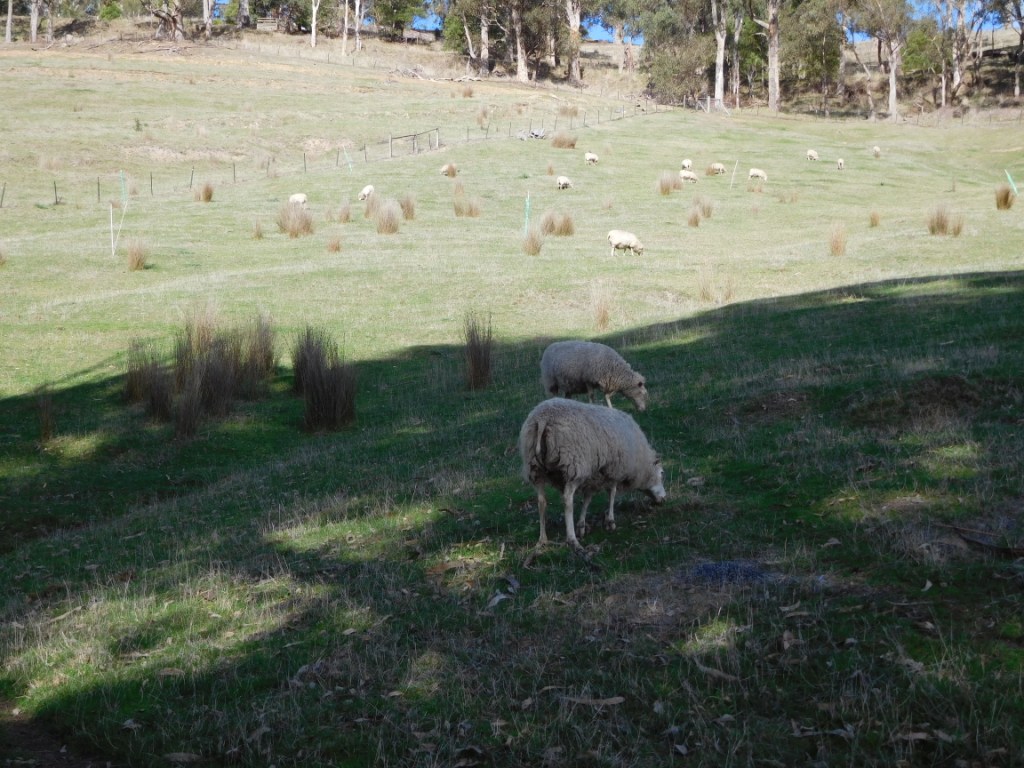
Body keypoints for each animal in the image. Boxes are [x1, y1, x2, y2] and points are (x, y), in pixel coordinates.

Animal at [519, 398, 665, 550]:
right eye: (662, 473)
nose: (664, 499)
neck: (641, 462)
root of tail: (543, 418)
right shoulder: (615, 469)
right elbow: (612, 493)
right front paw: (610, 521)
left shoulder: (593, 476)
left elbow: (588, 498)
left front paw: (582, 525)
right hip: (574, 465)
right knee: (567, 500)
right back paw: (572, 539)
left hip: (535, 468)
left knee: (542, 502)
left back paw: (542, 539)